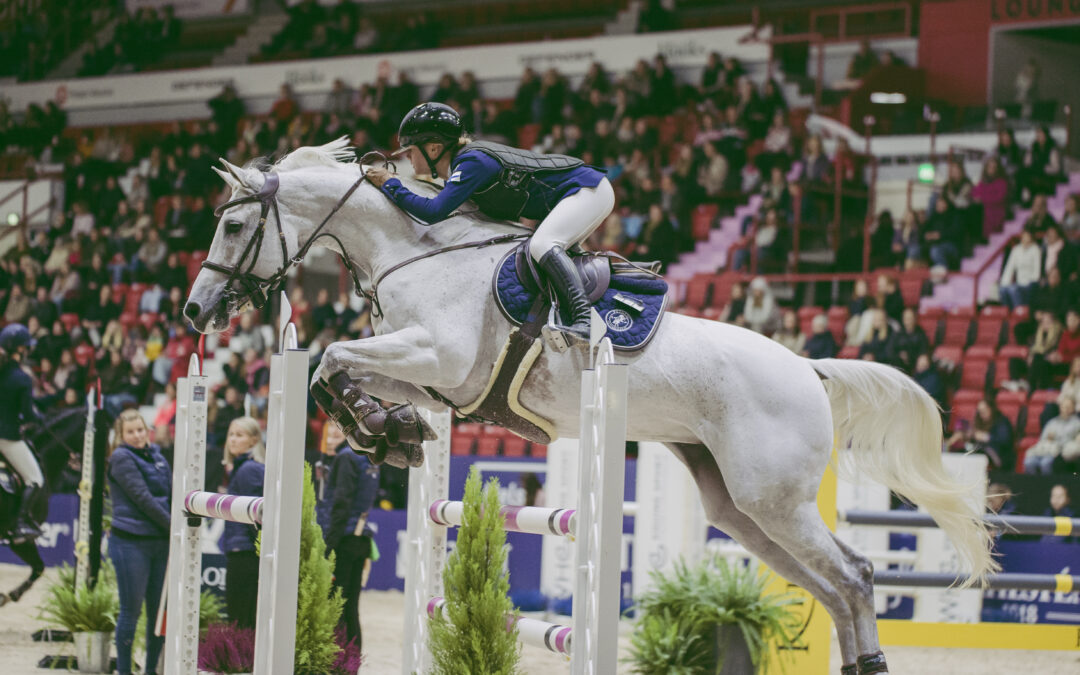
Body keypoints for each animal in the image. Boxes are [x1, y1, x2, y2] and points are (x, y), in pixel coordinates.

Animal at [184, 139, 996, 674]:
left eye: (232, 225)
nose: (194, 311)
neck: (413, 251)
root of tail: (808, 368)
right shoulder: (436, 380)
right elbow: (338, 371)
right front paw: (391, 432)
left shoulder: (435, 356)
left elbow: (328, 356)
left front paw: (379, 431)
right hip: (740, 507)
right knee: (830, 585)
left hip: (776, 498)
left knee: (855, 575)